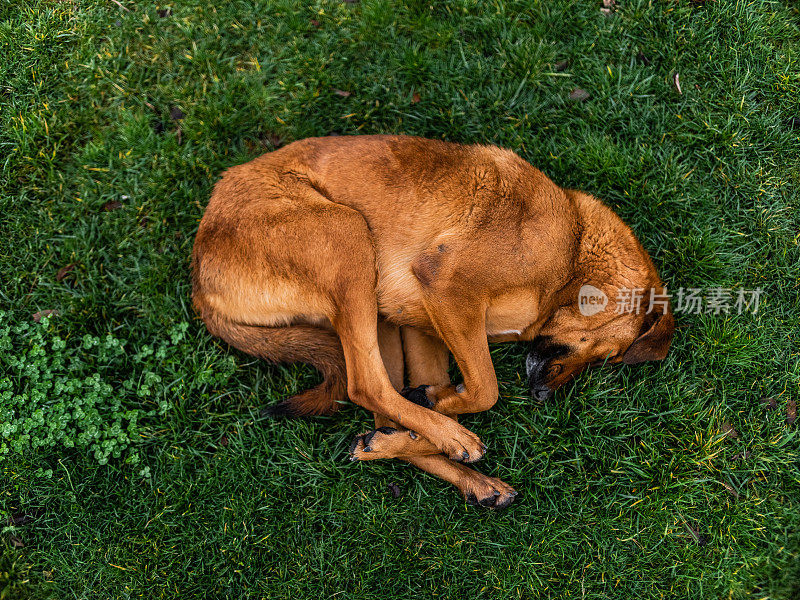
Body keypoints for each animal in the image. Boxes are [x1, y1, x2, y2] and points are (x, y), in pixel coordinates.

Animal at [194, 135, 676, 506]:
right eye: (606, 356)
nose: (541, 397)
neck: (574, 250)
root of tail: (199, 280)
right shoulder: (448, 287)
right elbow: (486, 390)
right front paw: (449, 422)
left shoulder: (423, 324)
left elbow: (450, 391)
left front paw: (422, 413)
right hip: (346, 233)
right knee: (364, 385)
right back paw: (451, 437)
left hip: (379, 317)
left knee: (376, 402)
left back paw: (454, 470)